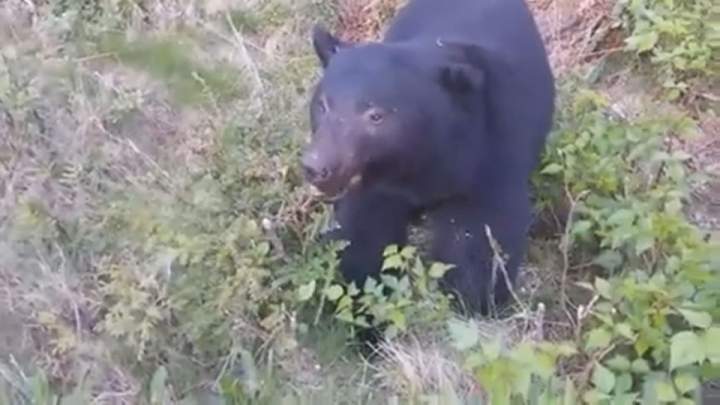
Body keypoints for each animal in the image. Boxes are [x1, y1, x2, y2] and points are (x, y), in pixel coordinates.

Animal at [301, 0, 555, 315]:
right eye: (323, 105)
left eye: (376, 115)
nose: (317, 166)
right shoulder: (378, 187)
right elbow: (364, 236)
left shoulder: (488, 158)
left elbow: (481, 241)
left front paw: (474, 303)